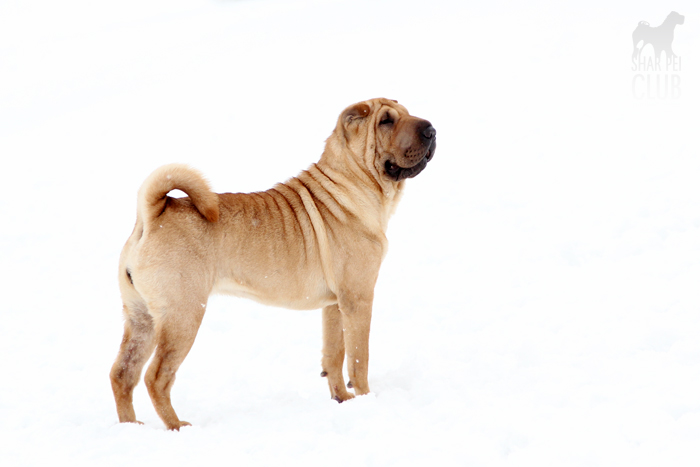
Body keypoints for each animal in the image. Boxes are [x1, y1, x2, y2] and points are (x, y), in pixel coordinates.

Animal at [110, 98, 436, 430]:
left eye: (406, 114)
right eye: (386, 121)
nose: (432, 130)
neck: (353, 182)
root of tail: (152, 215)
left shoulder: (334, 305)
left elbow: (334, 355)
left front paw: (342, 399)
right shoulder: (358, 300)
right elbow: (359, 359)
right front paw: (366, 400)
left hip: (141, 318)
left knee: (122, 373)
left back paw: (130, 427)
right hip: (183, 316)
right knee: (156, 377)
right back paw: (178, 426)